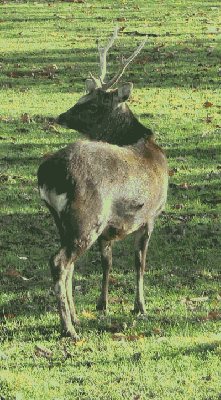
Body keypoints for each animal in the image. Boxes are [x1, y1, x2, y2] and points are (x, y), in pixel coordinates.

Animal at [37, 27, 168, 340]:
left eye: (93, 104)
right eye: (81, 99)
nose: (61, 116)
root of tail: (47, 174)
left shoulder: (110, 229)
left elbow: (107, 262)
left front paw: (102, 304)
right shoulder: (151, 214)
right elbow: (139, 262)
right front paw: (140, 307)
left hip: (64, 220)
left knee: (69, 265)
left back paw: (74, 315)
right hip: (87, 215)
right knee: (59, 262)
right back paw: (69, 328)